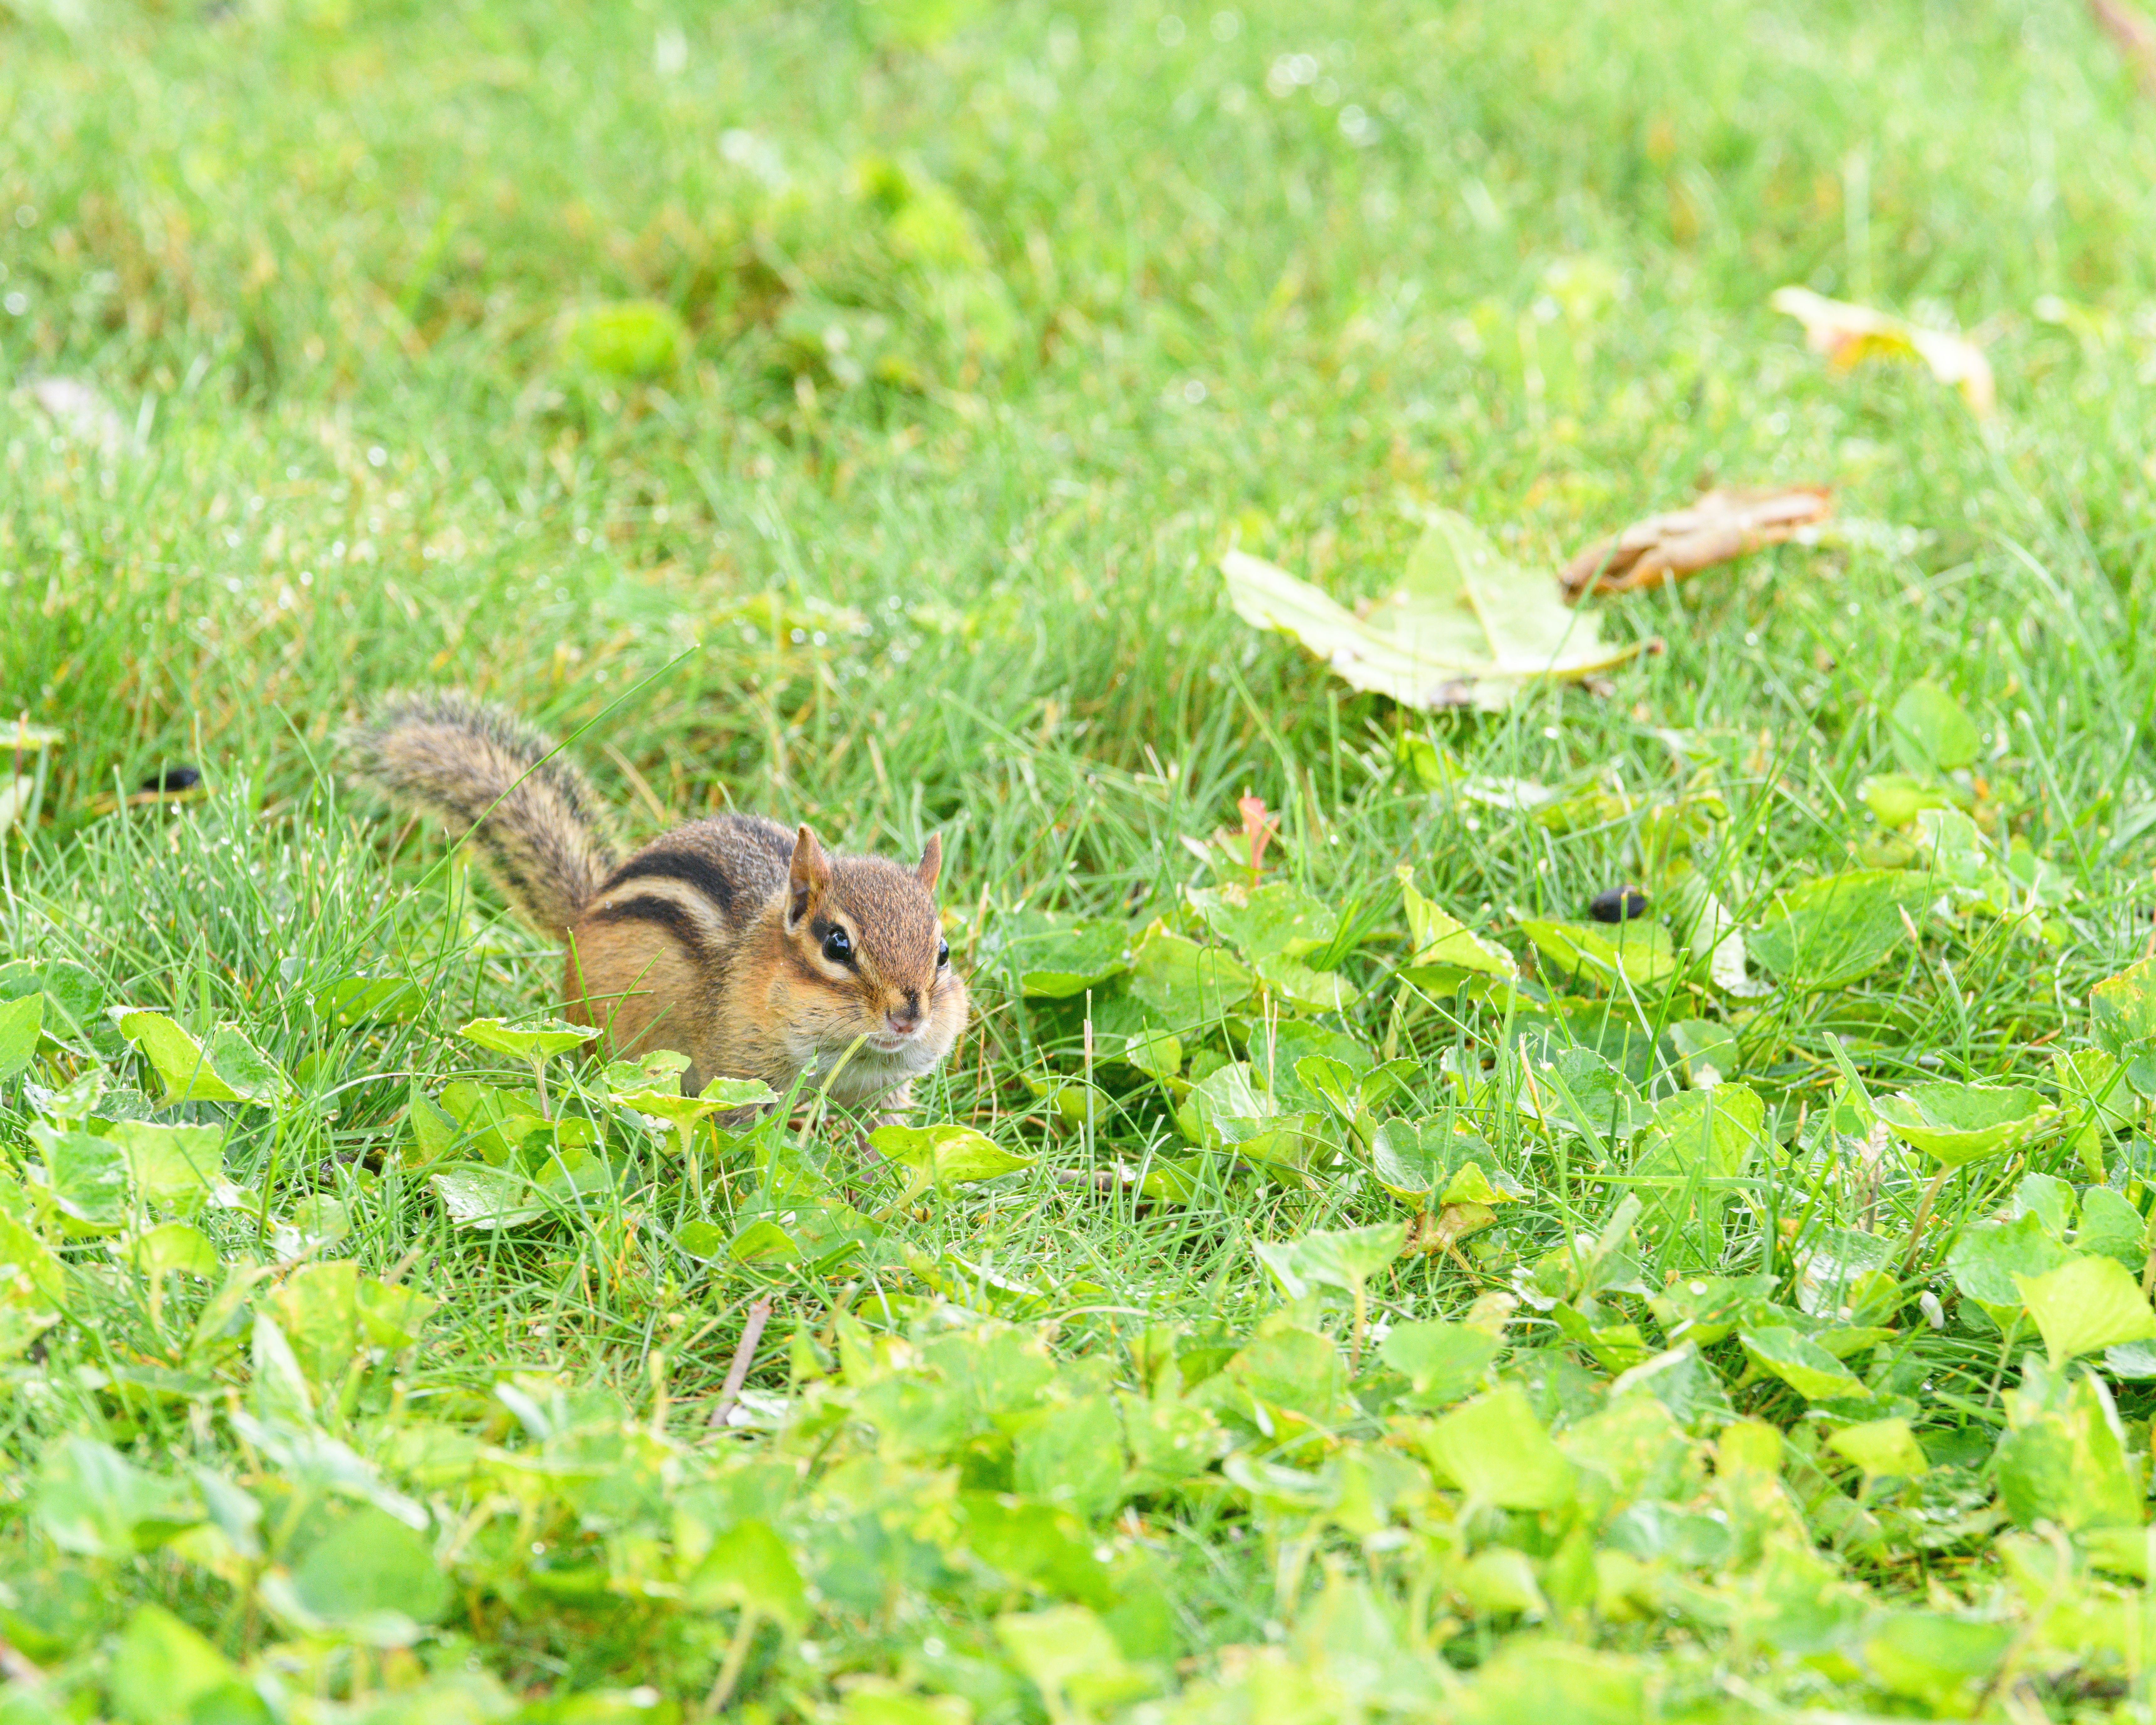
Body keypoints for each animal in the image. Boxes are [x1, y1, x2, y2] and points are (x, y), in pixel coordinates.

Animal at [347, 691, 967, 1112]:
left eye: (942, 952)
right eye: (837, 945)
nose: (908, 1016)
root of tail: (583, 912)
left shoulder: (882, 1093)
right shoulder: (739, 1074)